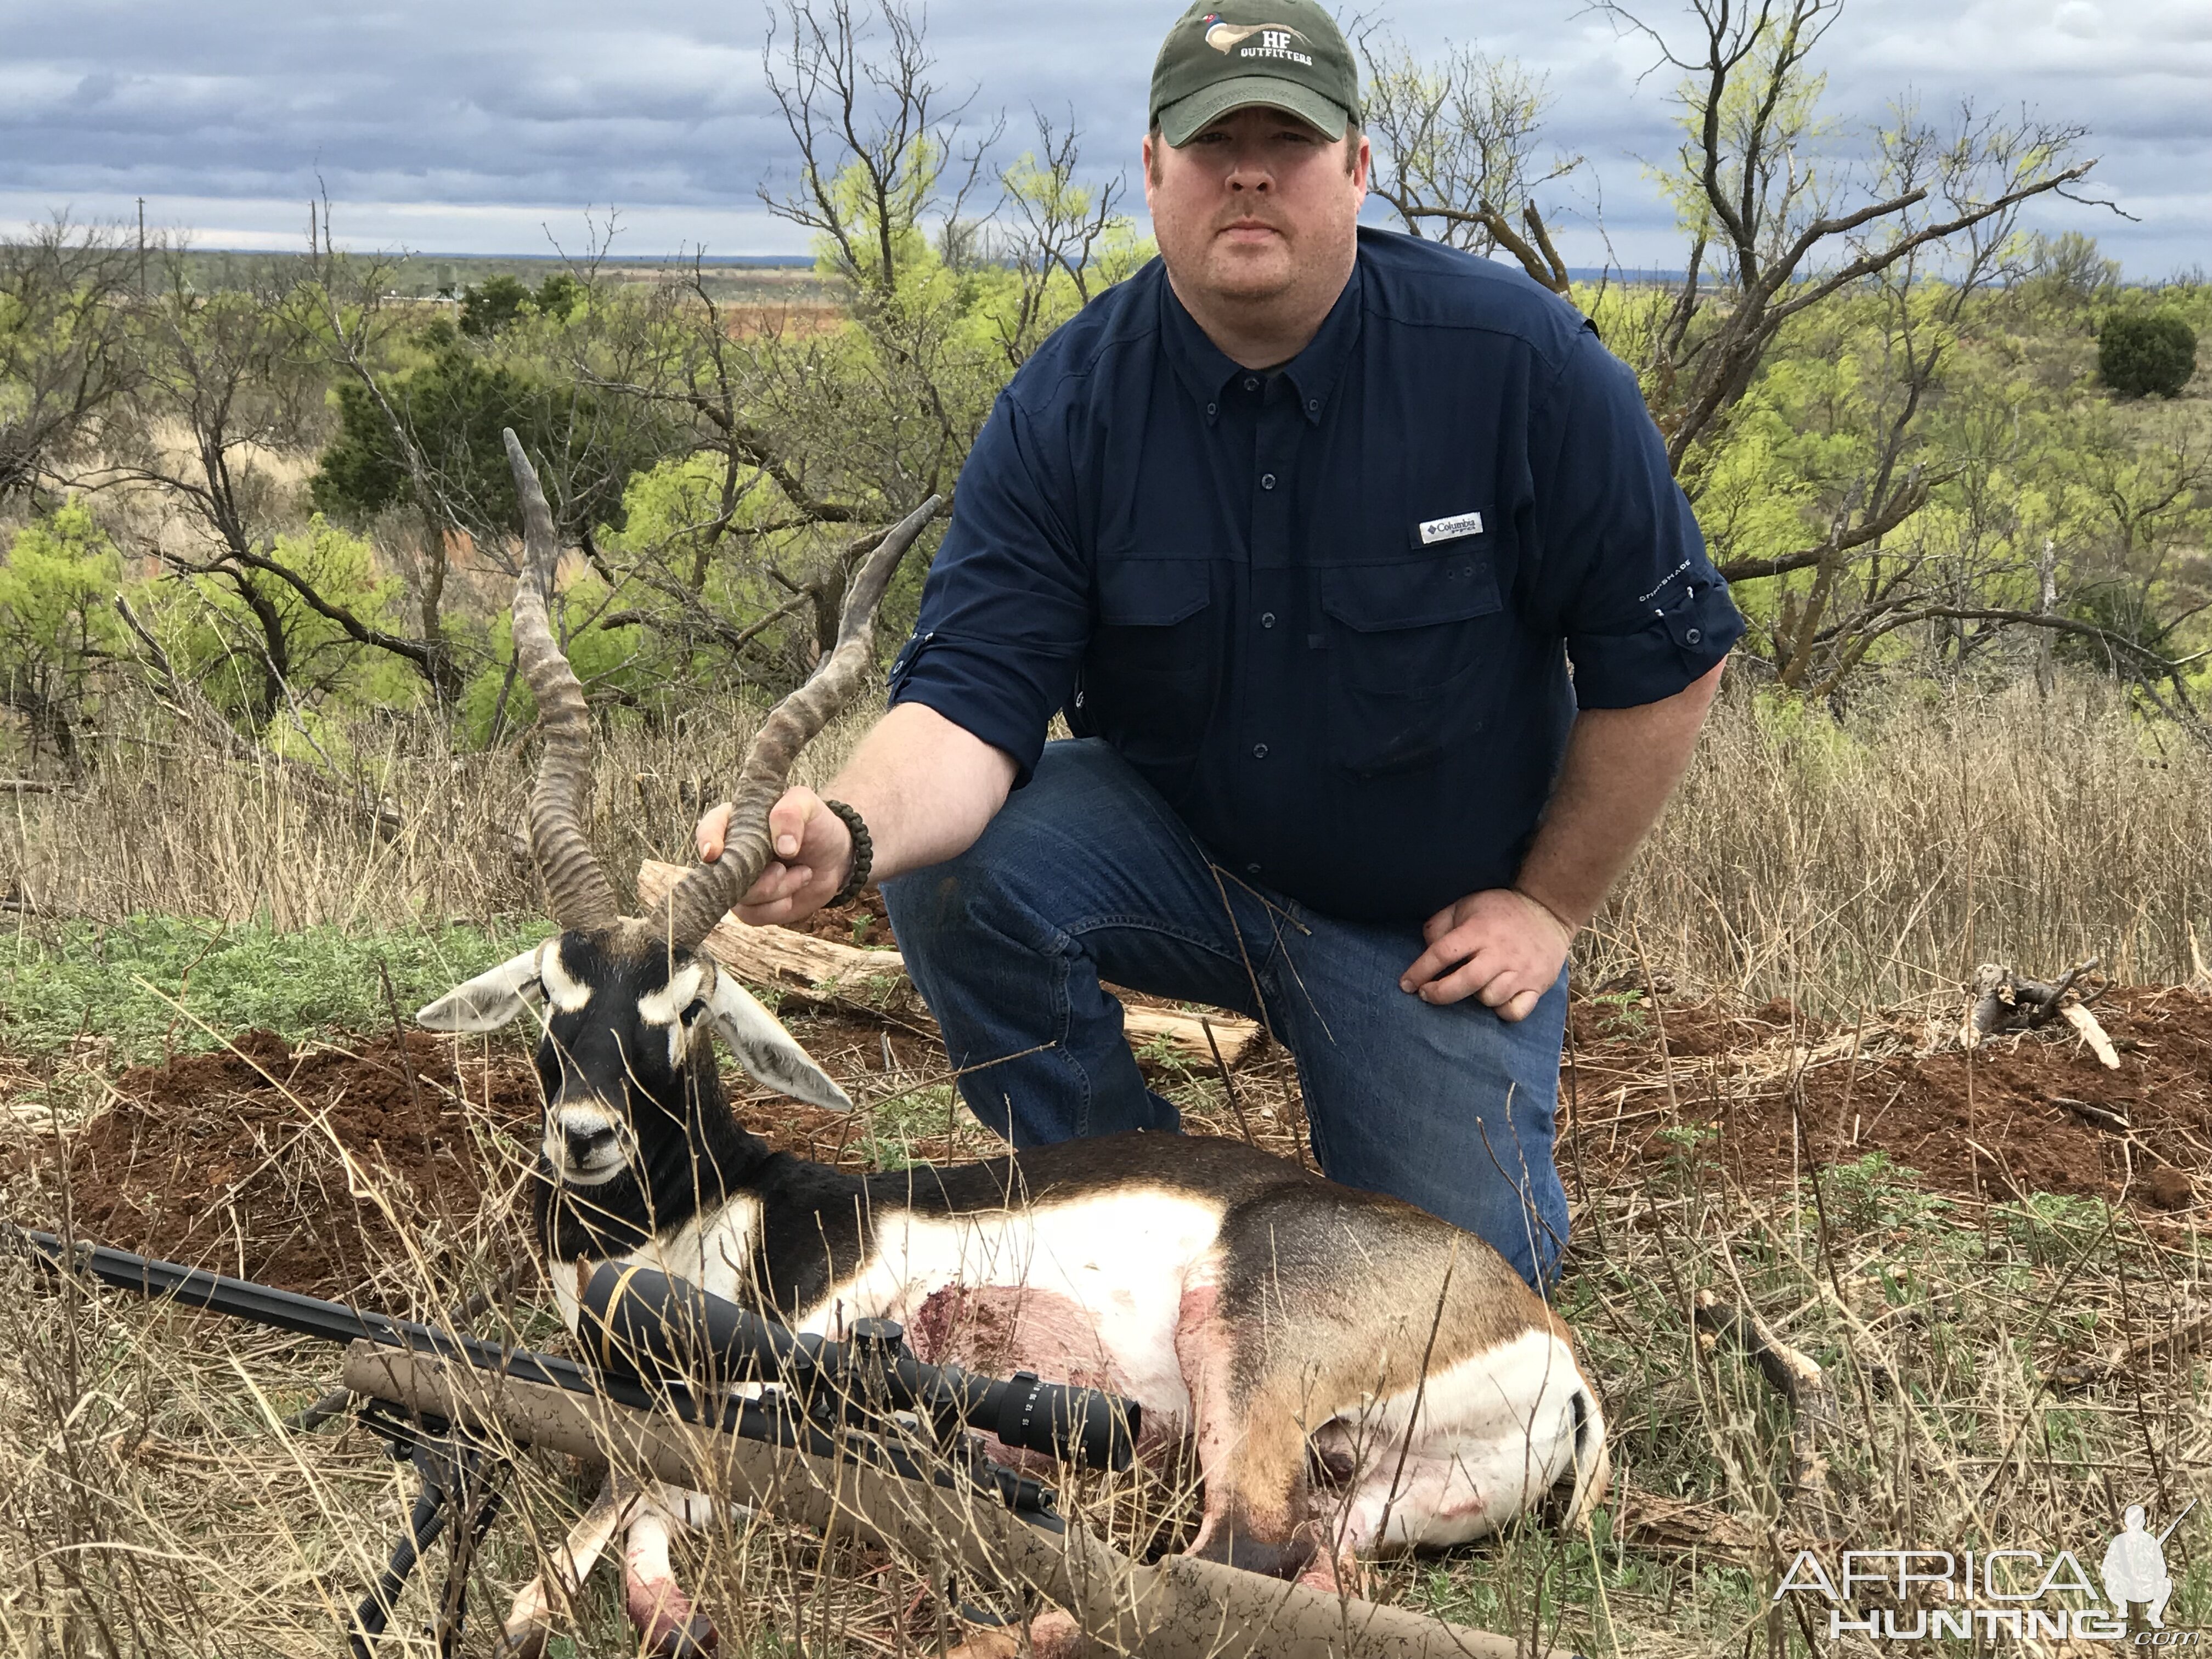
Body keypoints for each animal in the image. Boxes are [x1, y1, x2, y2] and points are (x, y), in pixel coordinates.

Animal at [422, 436, 1610, 1654]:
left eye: (690, 1004)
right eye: (550, 991)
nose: (584, 1135)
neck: (712, 1215)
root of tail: (1550, 1348)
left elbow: (621, 1514)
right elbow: (624, 1528)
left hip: (1244, 1360)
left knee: (1221, 1559)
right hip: (1375, 1495)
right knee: (1302, 1574)